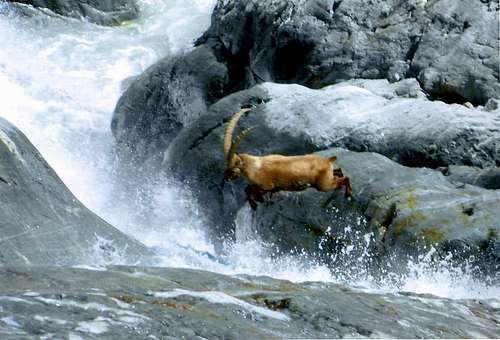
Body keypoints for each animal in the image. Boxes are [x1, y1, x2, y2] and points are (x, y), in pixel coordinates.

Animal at [223, 109, 352, 210]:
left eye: (234, 166)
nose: (226, 178)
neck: (255, 166)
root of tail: (328, 160)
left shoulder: (266, 186)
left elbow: (248, 189)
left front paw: (256, 203)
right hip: (328, 177)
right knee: (339, 171)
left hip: (324, 185)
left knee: (344, 179)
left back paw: (349, 194)